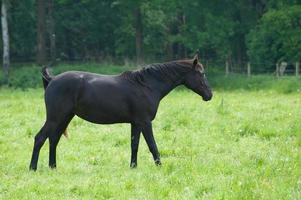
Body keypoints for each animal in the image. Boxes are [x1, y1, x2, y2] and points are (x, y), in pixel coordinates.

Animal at [28, 53, 211, 170]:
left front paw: (133, 167)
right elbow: (152, 145)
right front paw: (160, 166)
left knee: (53, 140)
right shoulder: (145, 122)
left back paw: (53, 167)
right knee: (40, 138)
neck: (146, 85)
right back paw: (33, 168)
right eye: (201, 73)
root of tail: (52, 80)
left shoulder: (136, 123)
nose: (210, 95)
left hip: (64, 118)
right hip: (55, 118)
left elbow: (134, 145)